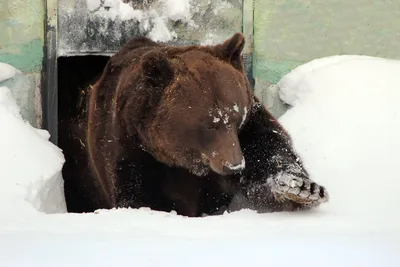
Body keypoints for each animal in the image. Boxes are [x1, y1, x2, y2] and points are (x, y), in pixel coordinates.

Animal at [61, 32, 328, 217]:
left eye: (235, 118)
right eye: (209, 124)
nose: (234, 165)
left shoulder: (250, 121)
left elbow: (268, 145)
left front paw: (303, 188)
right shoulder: (127, 144)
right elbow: (137, 192)